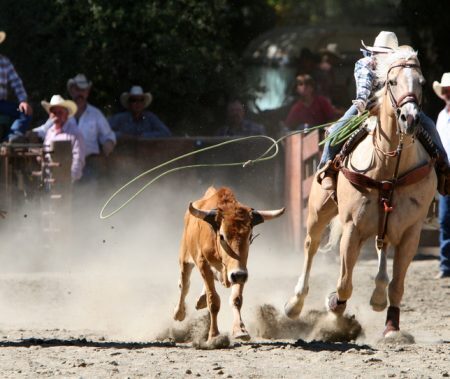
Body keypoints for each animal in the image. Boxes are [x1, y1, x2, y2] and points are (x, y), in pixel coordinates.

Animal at [284, 46, 436, 336]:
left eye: (422, 83)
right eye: (391, 82)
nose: (410, 118)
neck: (388, 168)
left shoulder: (411, 232)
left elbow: (397, 286)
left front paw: (392, 328)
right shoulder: (352, 228)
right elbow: (344, 284)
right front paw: (334, 306)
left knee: (382, 254)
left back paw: (377, 296)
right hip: (318, 212)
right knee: (311, 246)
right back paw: (294, 304)